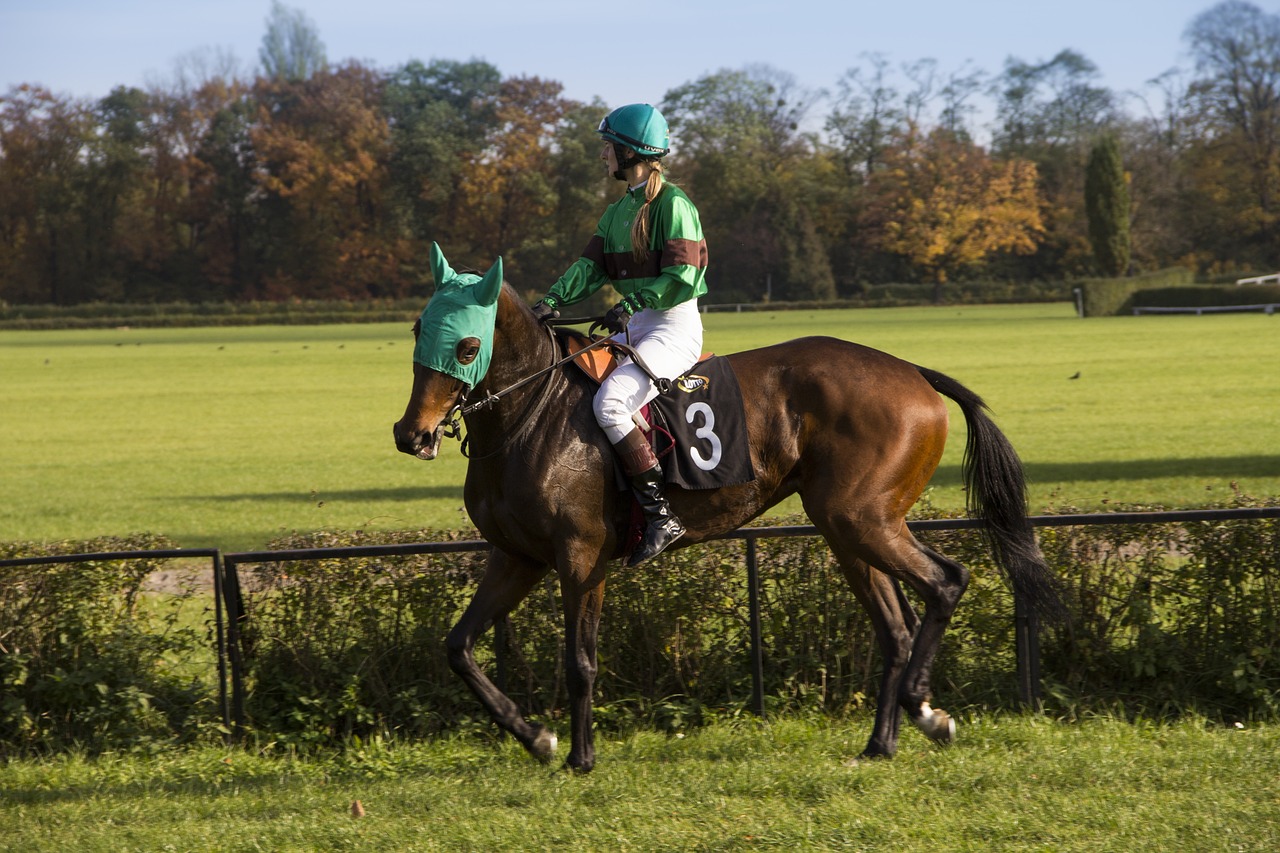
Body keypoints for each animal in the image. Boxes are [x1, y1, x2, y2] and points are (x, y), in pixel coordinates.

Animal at [394, 240, 1054, 768]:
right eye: (419, 331)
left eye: (467, 346)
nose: (411, 434)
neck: (531, 414)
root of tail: (914, 372)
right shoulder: (517, 557)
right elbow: (459, 648)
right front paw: (535, 737)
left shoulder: (580, 558)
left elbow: (580, 661)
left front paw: (580, 757)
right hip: (846, 528)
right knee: (894, 627)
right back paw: (880, 743)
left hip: (863, 520)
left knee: (946, 581)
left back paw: (924, 709)